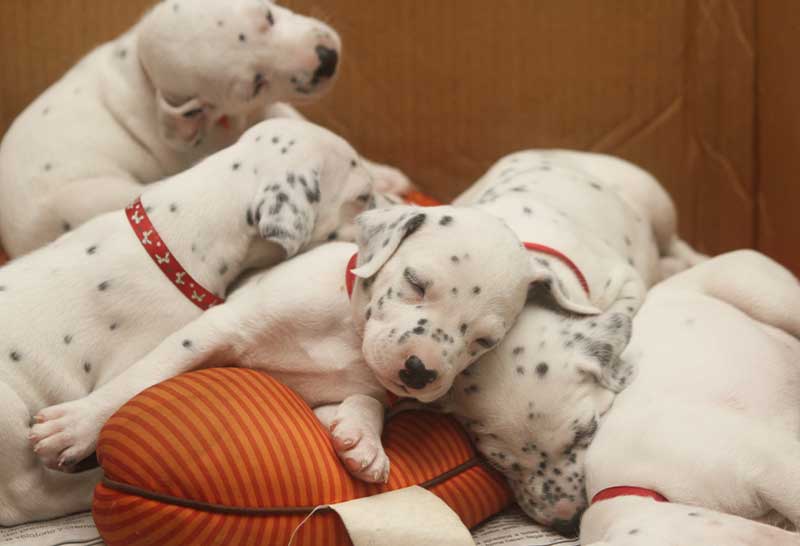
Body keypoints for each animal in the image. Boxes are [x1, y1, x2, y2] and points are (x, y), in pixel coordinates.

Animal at [0, 0, 410, 258]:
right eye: (255, 82)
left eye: (267, 16)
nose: (327, 61)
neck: (142, 71)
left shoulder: (269, 112)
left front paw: (383, 173)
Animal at [26, 201, 568, 498]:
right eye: (416, 282)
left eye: (485, 341)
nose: (419, 372)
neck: (345, 334)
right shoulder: (216, 328)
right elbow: (141, 378)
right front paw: (77, 425)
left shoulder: (337, 393)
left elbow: (366, 401)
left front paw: (363, 440)